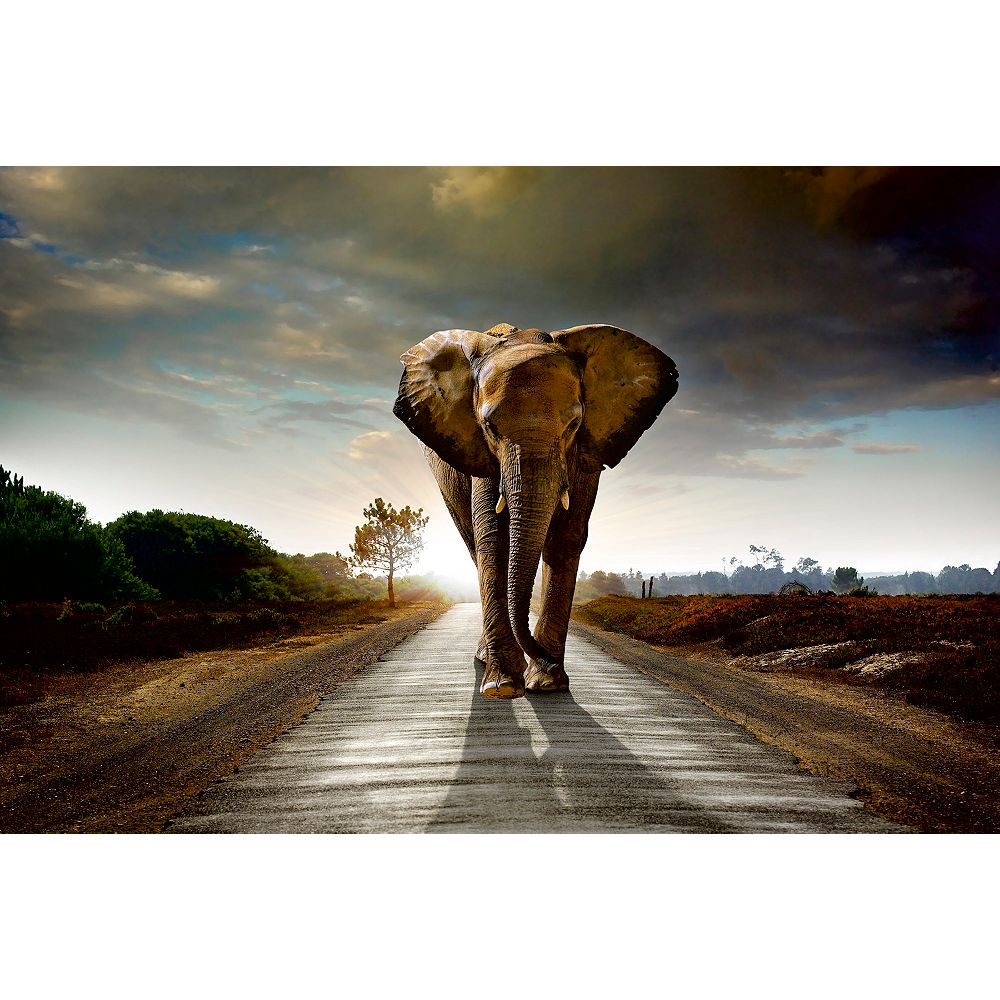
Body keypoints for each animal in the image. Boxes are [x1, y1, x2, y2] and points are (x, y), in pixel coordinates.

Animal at [393, 322, 678, 699]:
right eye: (490, 427)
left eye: (573, 425)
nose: (544, 658)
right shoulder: (483, 454)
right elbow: (493, 538)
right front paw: (502, 687)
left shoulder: (585, 452)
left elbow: (566, 537)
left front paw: (547, 683)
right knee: (473, 543)